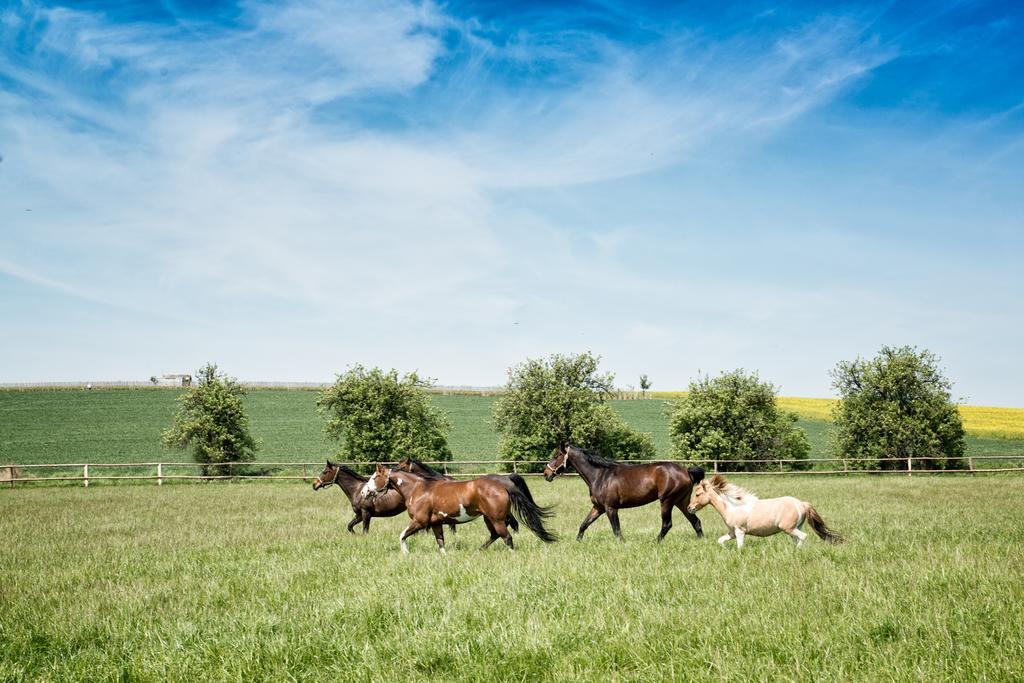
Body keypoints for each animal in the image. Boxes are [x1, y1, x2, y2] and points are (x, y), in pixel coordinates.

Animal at [362, 464, 557, 557]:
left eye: (374, 477)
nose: (364, 492)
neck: (418, 489)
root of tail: (503, 484)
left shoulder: (420, 522)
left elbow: (402, 535)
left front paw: (405, 553)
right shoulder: (435, 523)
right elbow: (441, 543)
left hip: (496, 519)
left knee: (507, 537)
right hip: (488, 519)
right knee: (495, 535)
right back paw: (478, 551)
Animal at [684, 475, 843, 548]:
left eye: (697, 494)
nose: (689, 508)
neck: (732, 507)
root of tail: (801, 504)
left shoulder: (740, 531)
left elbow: (740, 547)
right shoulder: (732, 532)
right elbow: (720, 541)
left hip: (788, 528)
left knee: (803, 537)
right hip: (795, 528)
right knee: (798, 539)